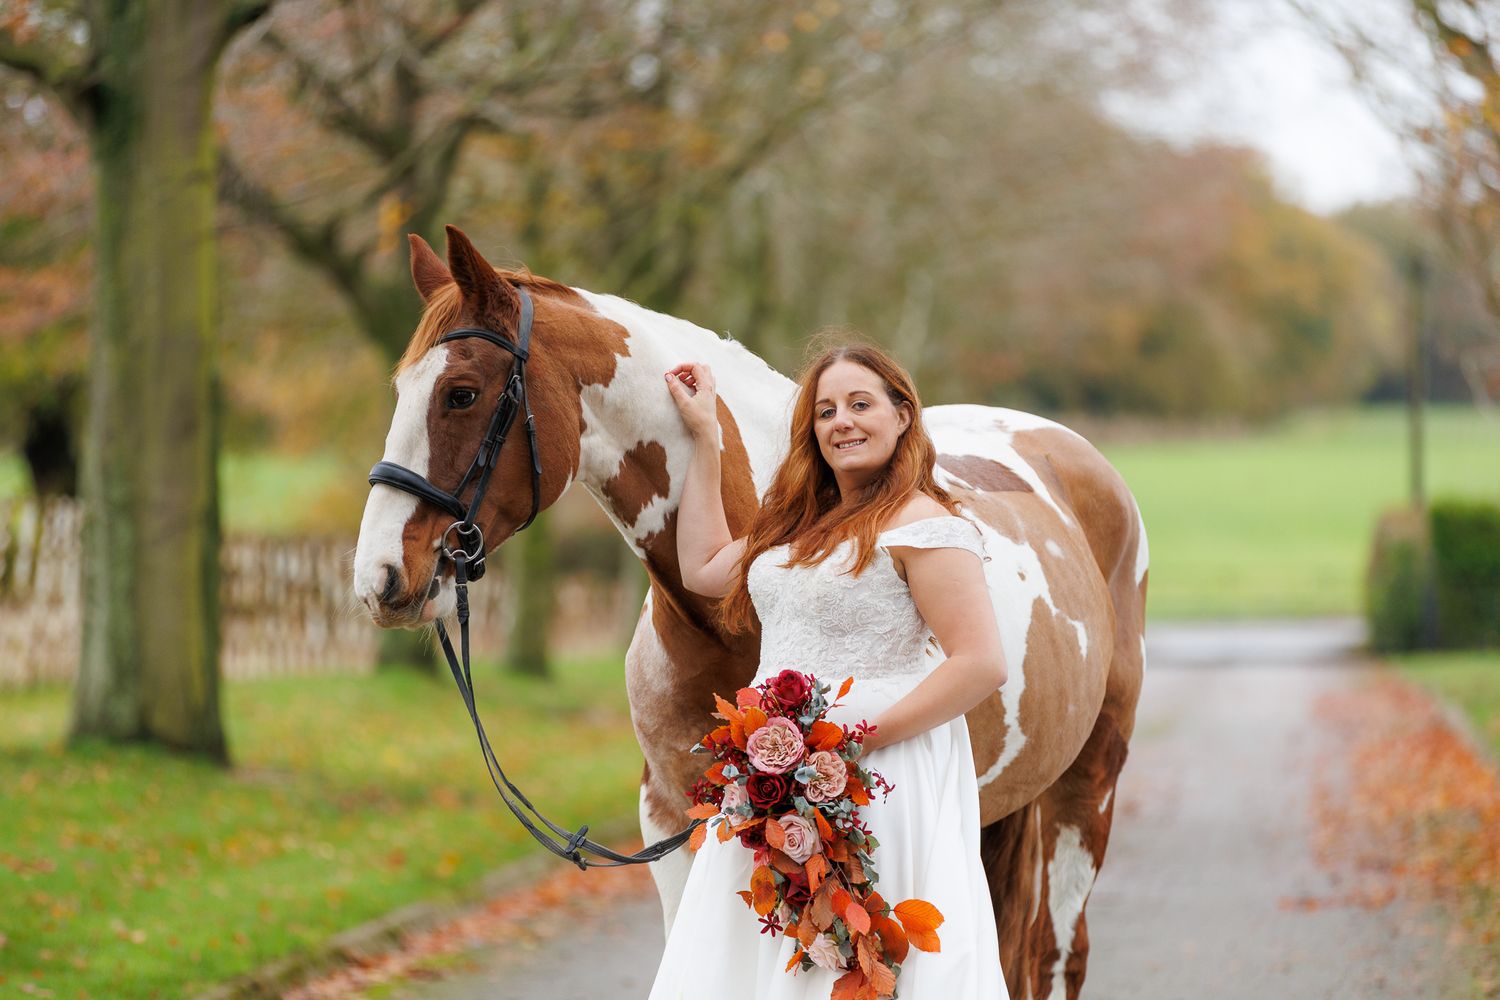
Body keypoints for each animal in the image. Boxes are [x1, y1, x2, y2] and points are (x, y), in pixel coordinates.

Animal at [353, 225, 1148, 1000]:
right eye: (399, 389)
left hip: (1087, 788)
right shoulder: (672, 818)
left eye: (461, 393)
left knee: (1056, 955)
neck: (725, 620)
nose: (378, 578)